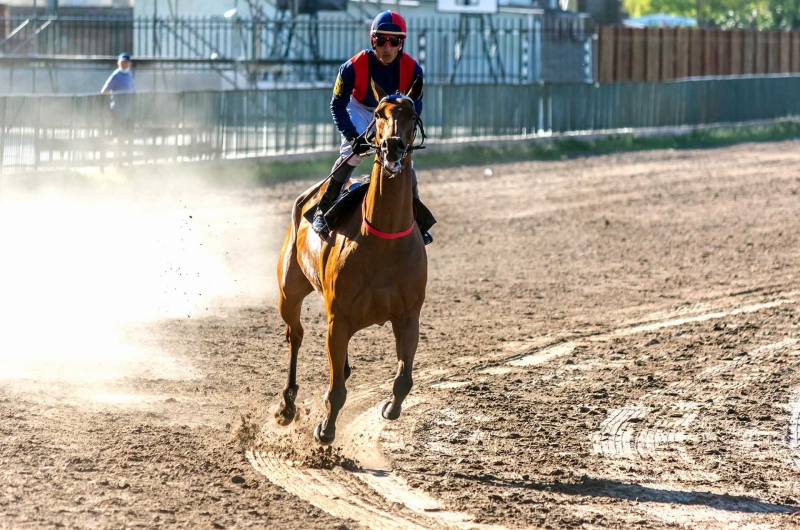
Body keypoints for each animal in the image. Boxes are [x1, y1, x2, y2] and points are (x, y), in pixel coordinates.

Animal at [274, 82, 424, 444]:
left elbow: (404, 379)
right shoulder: (338, 319)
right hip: (288, 290)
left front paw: (389, 408)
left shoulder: (408, 315)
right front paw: (325, 430)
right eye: (379, 113)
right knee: (295, 335)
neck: (383, 240)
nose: (393, 146)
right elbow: (336, 391)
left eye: (412, 116)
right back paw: (287, 405)